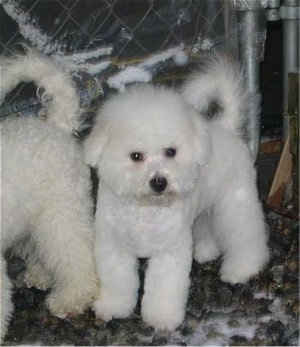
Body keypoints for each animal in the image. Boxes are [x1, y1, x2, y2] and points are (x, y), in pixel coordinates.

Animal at [84, 56, 270, 332]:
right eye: (136, 156)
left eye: (170, 151)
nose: (159, 182)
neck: (144, 209)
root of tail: (226, 127)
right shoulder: (114, 248)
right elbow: (118, 283)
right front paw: (114, 307)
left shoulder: (168, 253)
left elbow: (163, 289)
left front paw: (161, 318)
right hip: (206, 206)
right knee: (206, 225)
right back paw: (206, 251)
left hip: (235, 201)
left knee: (246, 235)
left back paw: (242, 268)